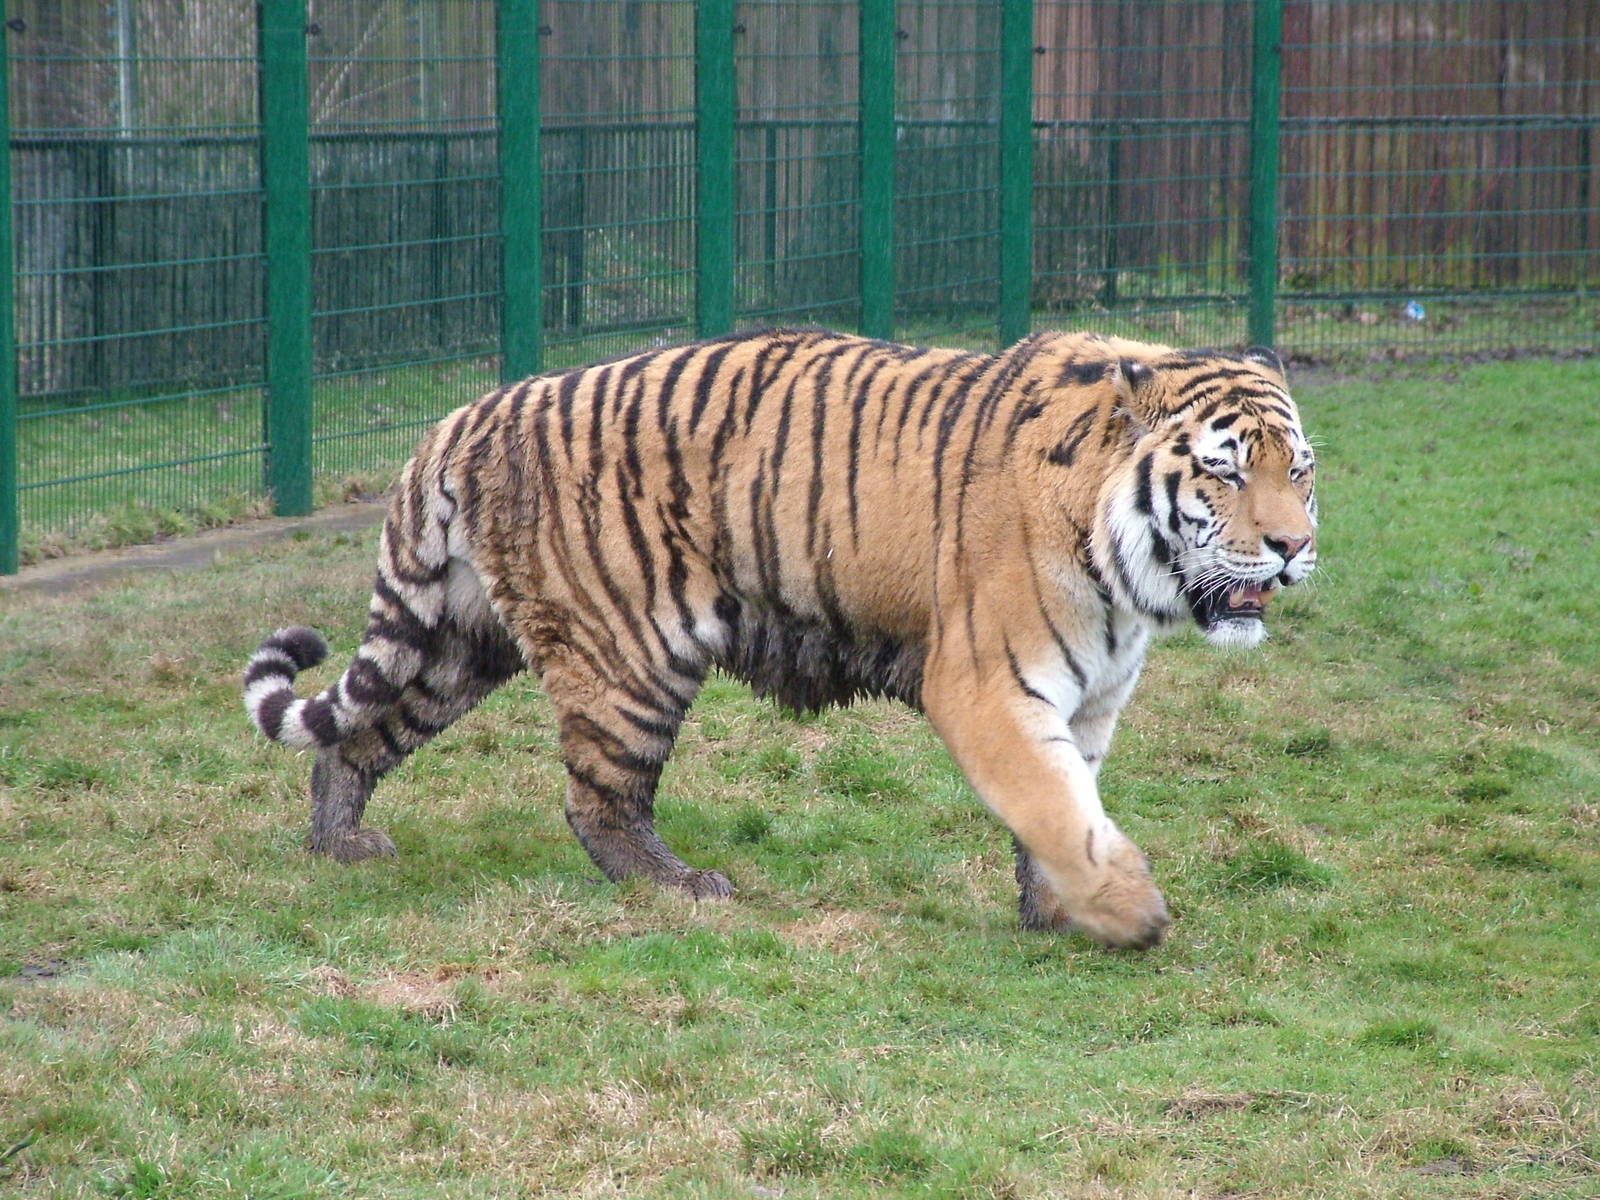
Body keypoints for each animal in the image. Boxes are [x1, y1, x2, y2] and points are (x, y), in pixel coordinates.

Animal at [244, 328, 1317, 950]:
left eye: (1299, 471)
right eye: (1225, 472)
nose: (1294, 547)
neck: (1127, 573)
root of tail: (461, 417)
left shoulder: (1090, 700)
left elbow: (1067, 808)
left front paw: (1058, 913)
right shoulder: (988, 684)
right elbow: (1055, 806)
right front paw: (1129, 914)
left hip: (460, 642)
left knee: (355, 739)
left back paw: (339, 843)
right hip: (630, 655)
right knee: (597, 804)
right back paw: (685, 890)